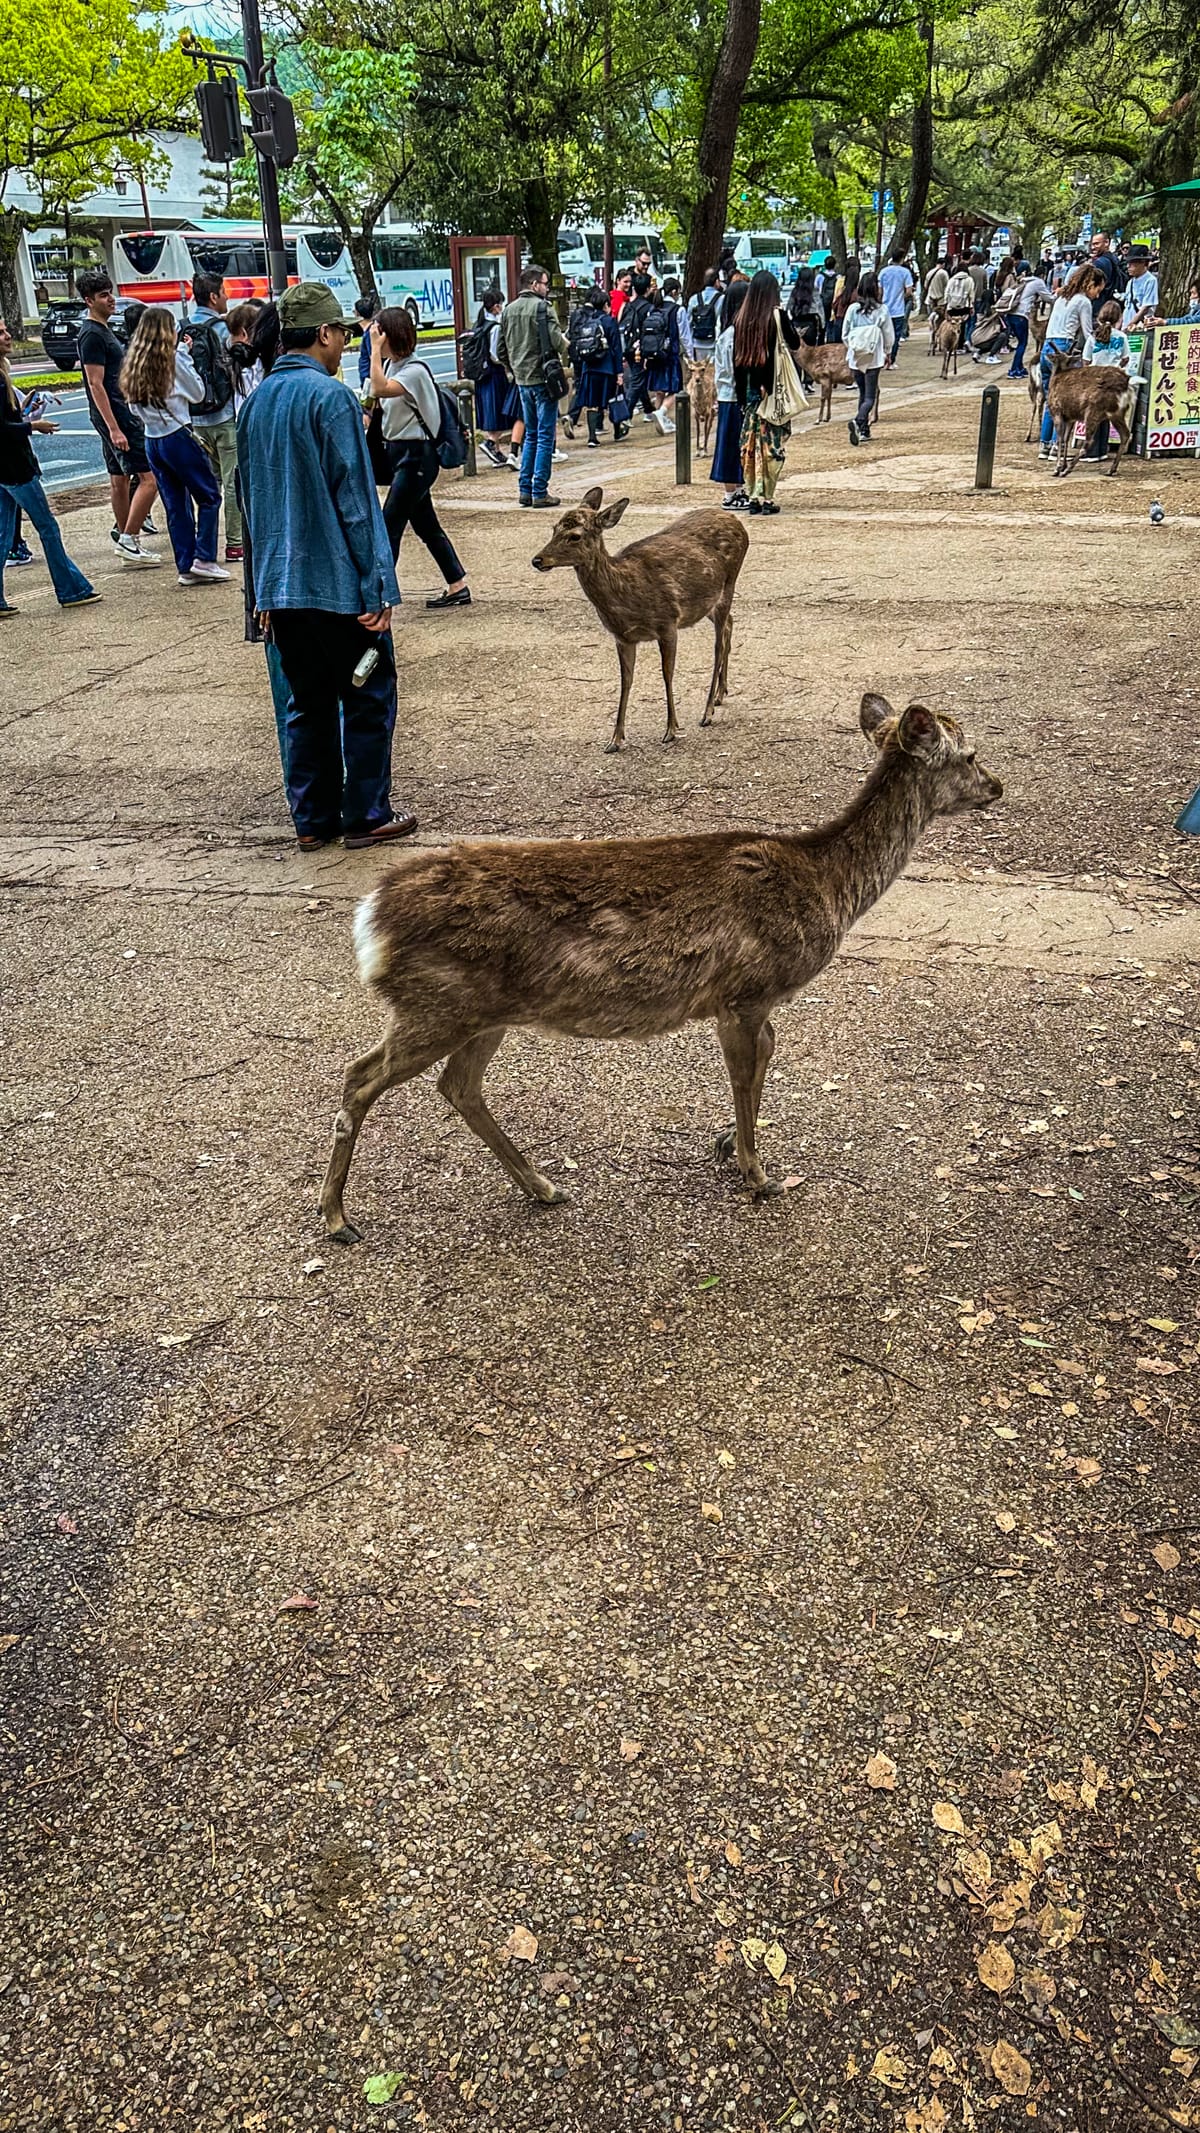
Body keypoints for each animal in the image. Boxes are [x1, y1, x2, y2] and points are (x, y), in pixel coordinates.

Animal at [318, 695, 1002, 1245]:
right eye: (969, 754)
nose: (998, 785)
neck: (828, 885)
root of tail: (370, 918)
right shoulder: (745, 991)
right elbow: (746, 1076)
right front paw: (759, 1175)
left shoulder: (752, 1002)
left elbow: (762, 1065)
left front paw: (728, 1147)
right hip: (439, 1002)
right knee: (359, 1077)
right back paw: (337, 1219)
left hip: (483, 1011)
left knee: (457, 1086)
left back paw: (543, 1187)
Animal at [530, 487, 749, 752]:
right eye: (554, 528)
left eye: (575, 536)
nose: (538, 560)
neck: (628, 594)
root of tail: (737, 522)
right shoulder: (622, 637)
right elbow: (626, 681)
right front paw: (615, 739)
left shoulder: (668, 623)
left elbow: (667, 673)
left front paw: (670, 729)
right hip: (706, 603)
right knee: (730, 624)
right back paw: (720, 694)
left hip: (728, 584)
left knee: (719, 645)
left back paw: (707, 712)